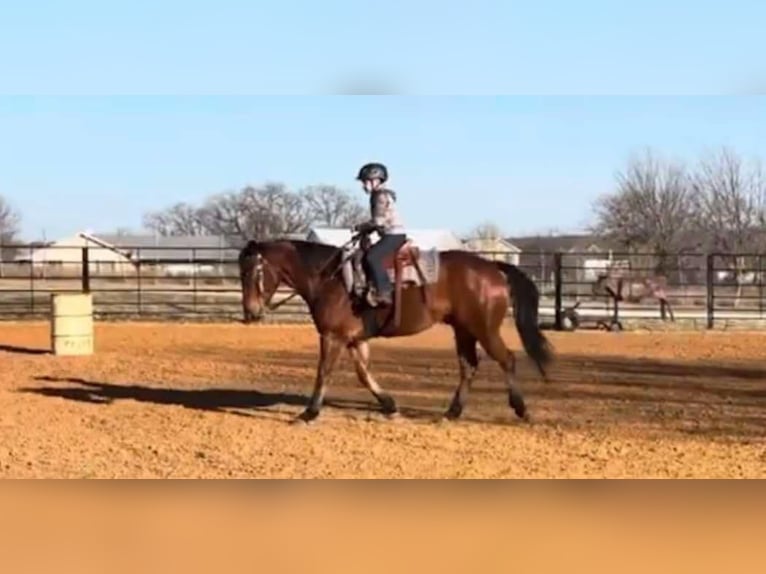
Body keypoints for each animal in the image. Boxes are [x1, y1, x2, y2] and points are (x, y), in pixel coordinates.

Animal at [237, 236, 556, 426]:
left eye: (255, 271)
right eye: (240, 272)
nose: (250, 312)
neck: (331, 278)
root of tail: (493, 267)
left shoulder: (332, 337)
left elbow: (324, 372)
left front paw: (309, 412)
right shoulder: (354, 339)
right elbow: (364, 374)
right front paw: (389, 405)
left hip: (484, 328)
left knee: (506, 359)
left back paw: (521, 409)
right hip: (463, 330)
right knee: (469, 366)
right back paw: (452, 412)